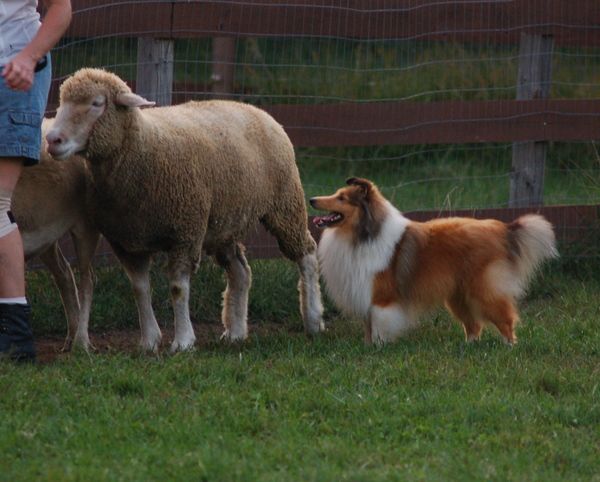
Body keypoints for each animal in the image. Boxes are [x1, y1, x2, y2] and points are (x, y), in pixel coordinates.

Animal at [13, 116, 101, 350]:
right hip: (46, 237)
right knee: (64, 274)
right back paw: (70, 338)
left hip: (85, 227)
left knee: (87, 279)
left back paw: (82, 342)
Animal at [45, 68, 324, 352]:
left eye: (96, 103)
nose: (52, 139)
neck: (141, 147)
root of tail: (254, 109)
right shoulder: (125, 241)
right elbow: (139, 288)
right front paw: (149, 341)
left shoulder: (185, 232)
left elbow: (178, 288)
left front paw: (183, 342)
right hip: (223, 223)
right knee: (240, 272)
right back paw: (236, 332)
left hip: (285, 204)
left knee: (306, 254)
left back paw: (313, 320)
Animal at [310, 179, 556, 344]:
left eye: (341, 198)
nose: (312, 199)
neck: (362, 235)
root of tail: (502, 229)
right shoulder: (365, 295)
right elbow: (368, 327)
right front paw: (368, 347)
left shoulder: (381, 298)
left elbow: (379, 327)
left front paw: (378, 348)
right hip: (459, 295)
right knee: (474, 325)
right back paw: (468, 346)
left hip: (484, 289)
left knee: (505, 318)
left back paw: (509, 346)